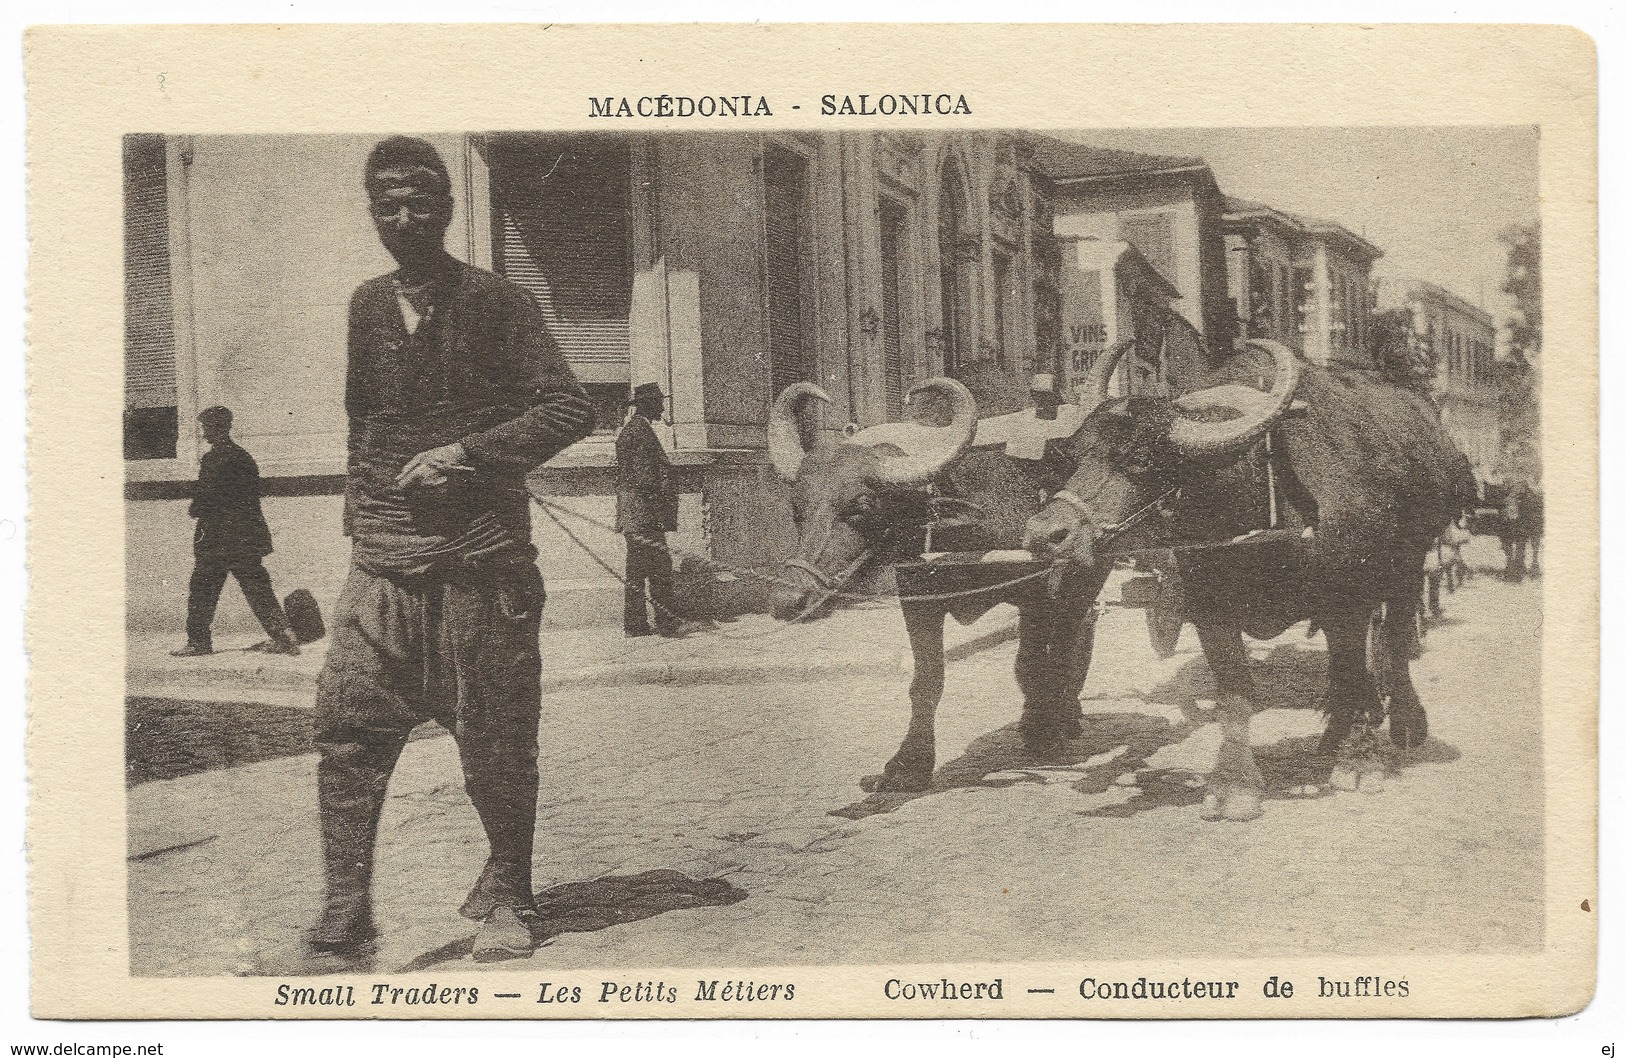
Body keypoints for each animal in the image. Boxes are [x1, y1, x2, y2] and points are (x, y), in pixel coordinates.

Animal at [760, 368, 1118, 789]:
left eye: (862, 507)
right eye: (797, 509)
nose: (787, 599)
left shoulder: (1039, 594)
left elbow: (1036, 663)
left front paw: (1042, 730)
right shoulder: (919, 600)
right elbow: (927, 680)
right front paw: (909, 763)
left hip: (1087, 576)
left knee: (1072, 635)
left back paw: (1064, 714)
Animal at [1033, 338, 1482, 819]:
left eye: (1139, 458)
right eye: (1072, 457)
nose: (1045, 534)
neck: (1263, 494)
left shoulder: (1349, 601)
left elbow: (1355, 673)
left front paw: (1360, 764)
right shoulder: (1211, 608)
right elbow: (1235, 694)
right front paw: (1235, 785)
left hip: (1408, 568)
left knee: (1394, 646)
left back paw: (1404, 727)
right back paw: (1332, 738)